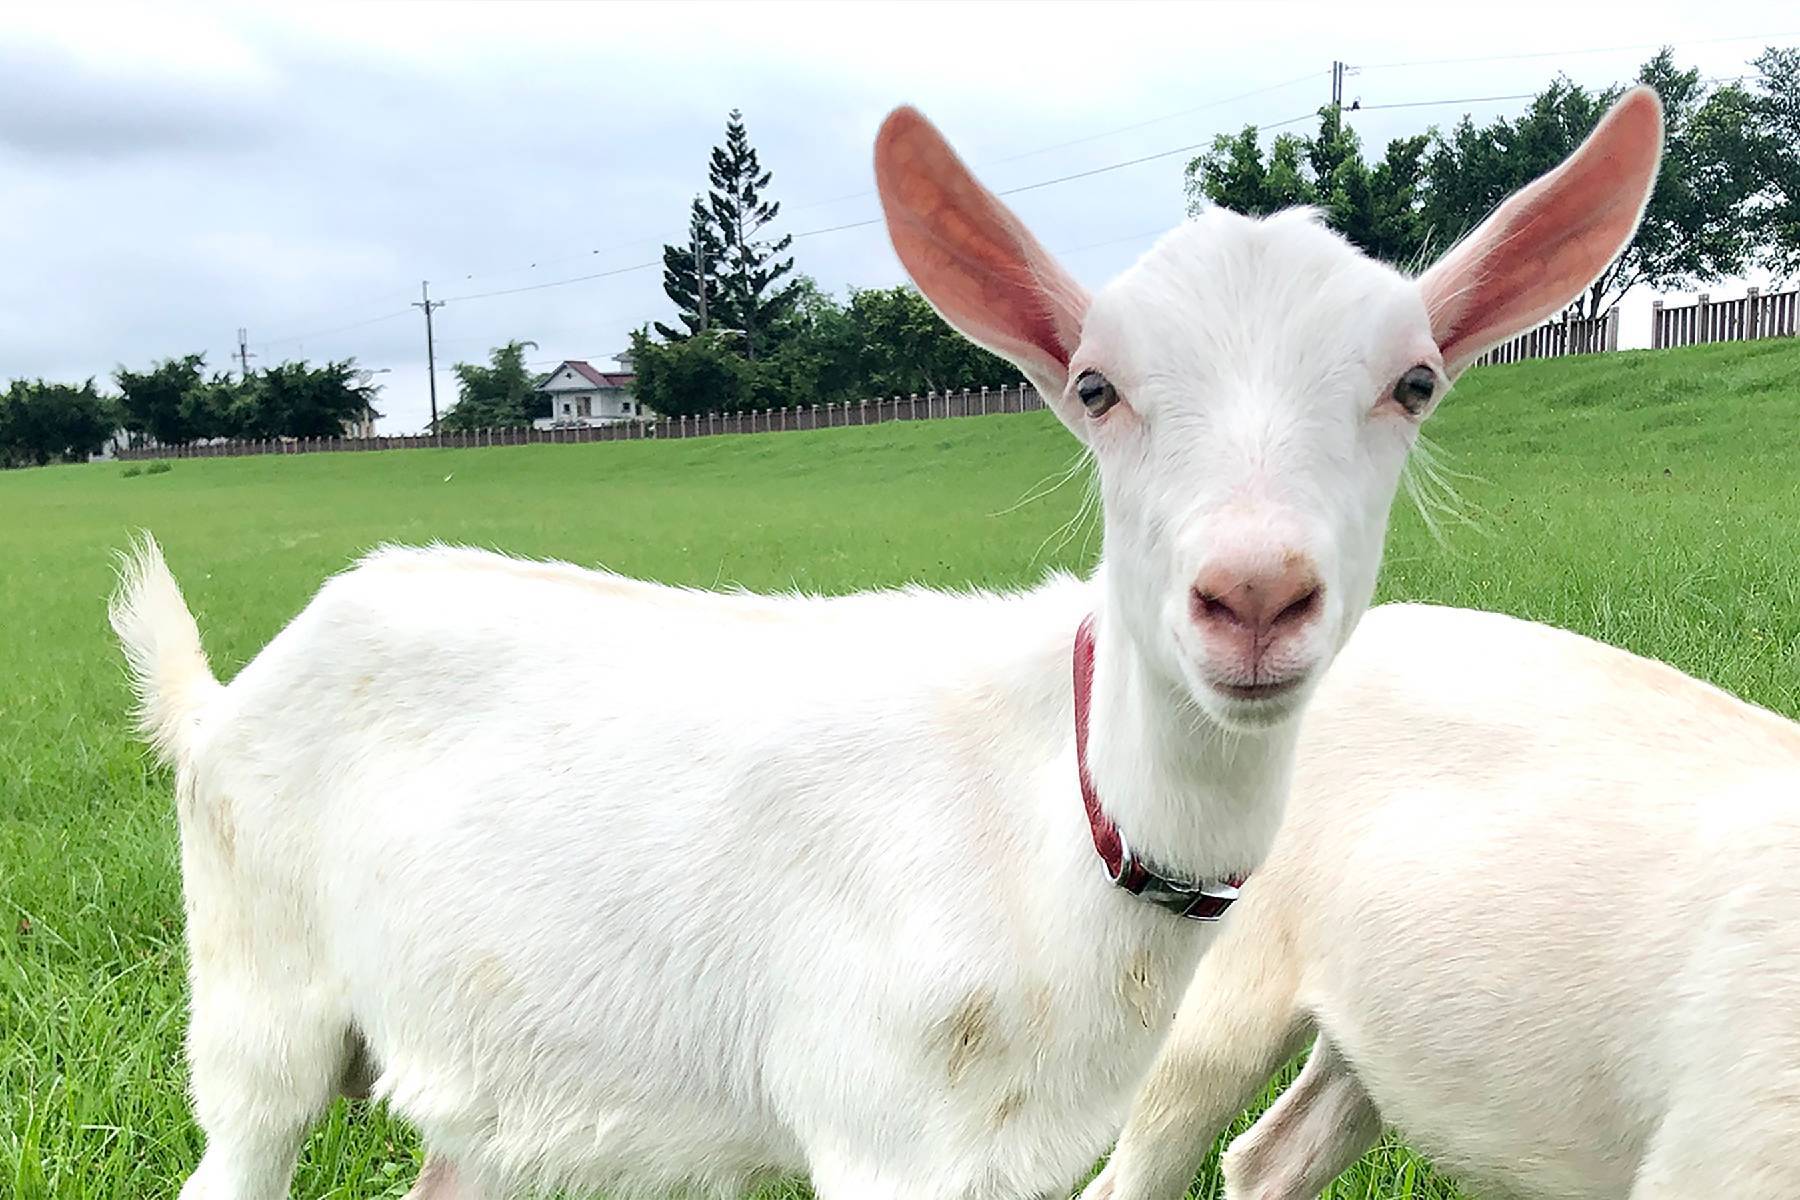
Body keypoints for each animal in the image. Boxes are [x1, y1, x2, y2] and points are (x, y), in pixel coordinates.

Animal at [108, 96, 1656, 1200]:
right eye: (1096, 387)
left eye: (1416, 383)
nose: (1255, 594)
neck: (1057, 824)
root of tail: (222, 701)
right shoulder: (879, 1120)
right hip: (256, 994)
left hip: (481, 1062)